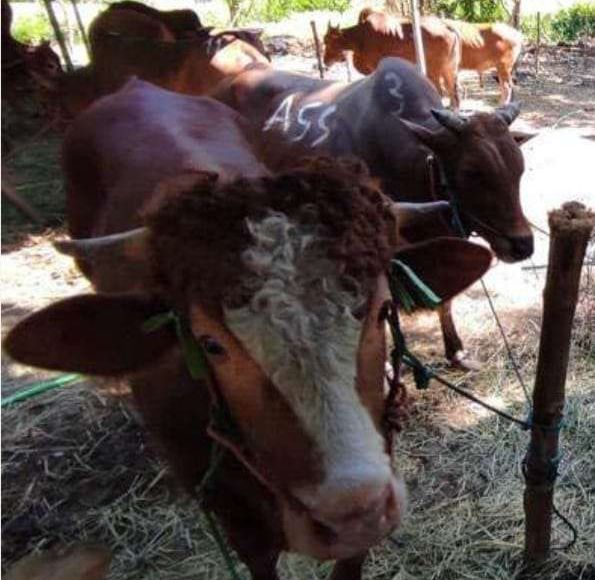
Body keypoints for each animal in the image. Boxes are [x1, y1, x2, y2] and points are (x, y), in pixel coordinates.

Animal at [214, 57, 534, 368]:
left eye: (519, 166)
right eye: (471, 172)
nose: (522, 244)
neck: (416, 166)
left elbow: (444, 299)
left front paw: (455, 350)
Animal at [324, 10, 461, 110]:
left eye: (327, 41)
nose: (325, 61)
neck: (361, 37)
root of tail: (447, 27)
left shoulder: (375, 67)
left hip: (434, 70)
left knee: (441, 91)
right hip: (449, 69)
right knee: (453, 93)